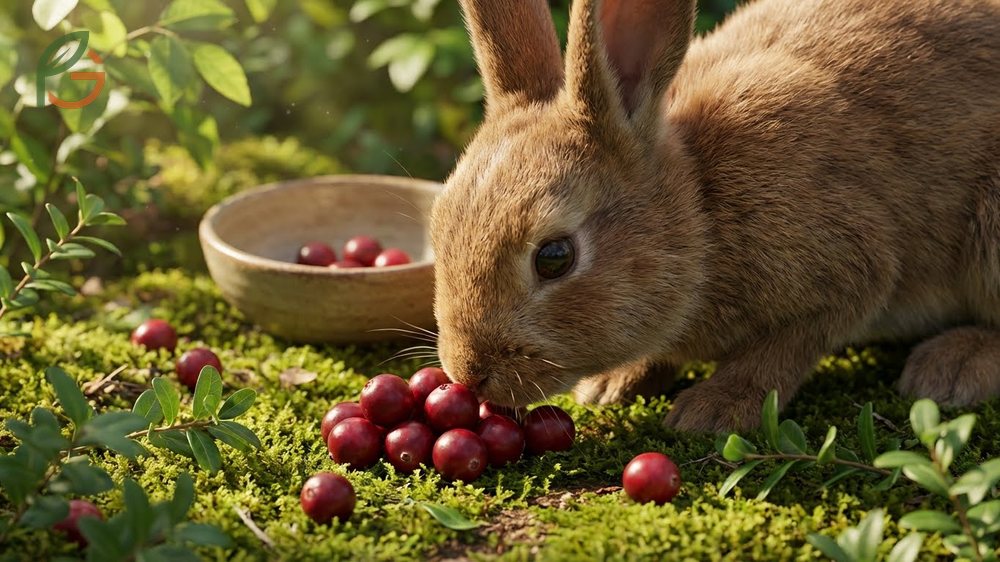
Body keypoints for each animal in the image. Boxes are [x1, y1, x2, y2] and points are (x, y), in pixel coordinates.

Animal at [428, 0, 1000, 432]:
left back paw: (952, 367)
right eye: (438, 227)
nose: (468, 374)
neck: (702, 207)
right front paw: (615, 383)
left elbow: (787, 347)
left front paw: (714, 409)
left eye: (554, 257)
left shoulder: (853, 264)